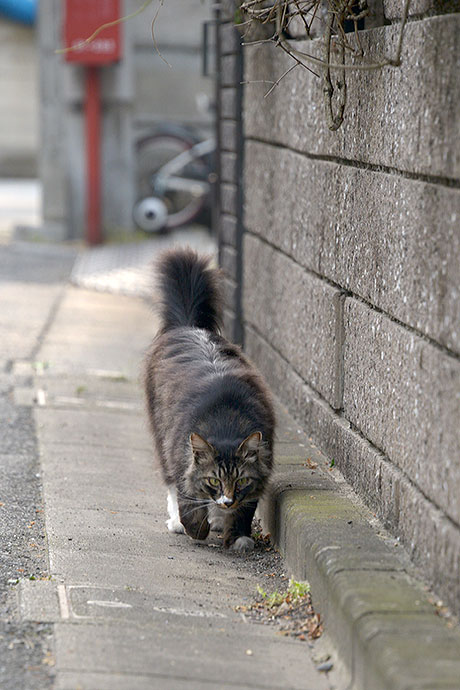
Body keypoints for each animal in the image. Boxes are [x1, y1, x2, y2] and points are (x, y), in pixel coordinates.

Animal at [142, 245, 274, 552]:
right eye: (214, 479)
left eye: (240, 480)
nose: (226, 500)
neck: (226, 421)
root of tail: (188, 326)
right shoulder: (181, 455)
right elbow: (188, 498)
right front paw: (194, 526)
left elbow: (245, 508)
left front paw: (239, 537)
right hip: (161, 437)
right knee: (170, 483)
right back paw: (179, 522)